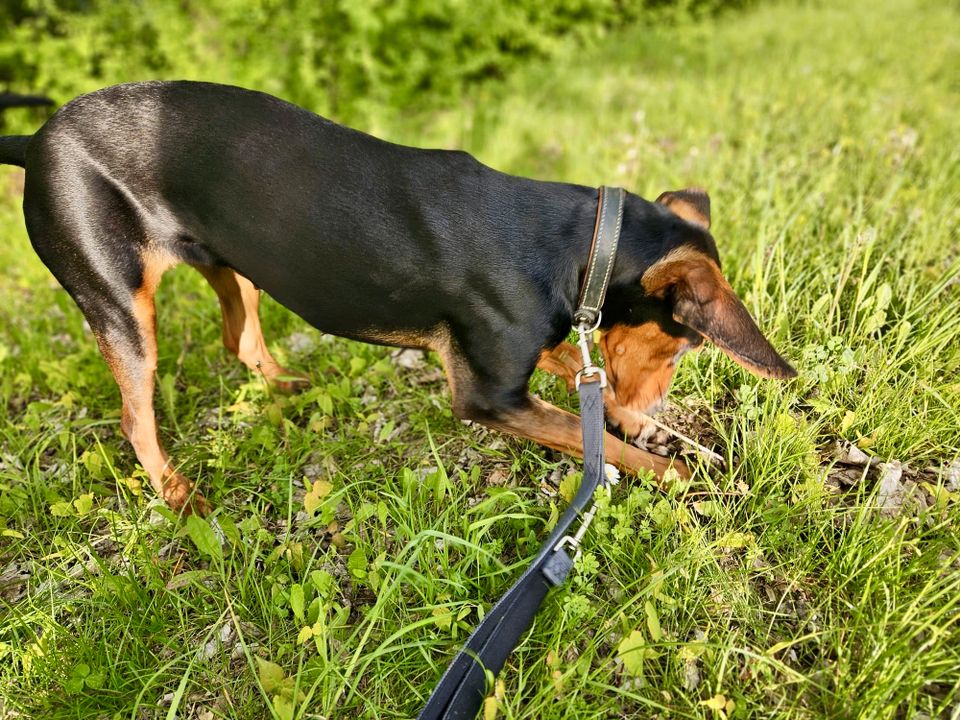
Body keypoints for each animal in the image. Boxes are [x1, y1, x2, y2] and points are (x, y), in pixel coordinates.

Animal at [0, 81, 796, 516]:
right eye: (684, 343)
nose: (652, 401)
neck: (578, 248)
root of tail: (33, 140)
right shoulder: (489, 397)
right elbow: (603, 444)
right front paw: (685, 475)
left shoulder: (516, 352)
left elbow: (581, 379)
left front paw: (663, 433)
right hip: (119, 301)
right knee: (136, 418)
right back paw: (179, 497)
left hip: (237, 260)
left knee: (241, 339)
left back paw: (287, 389)